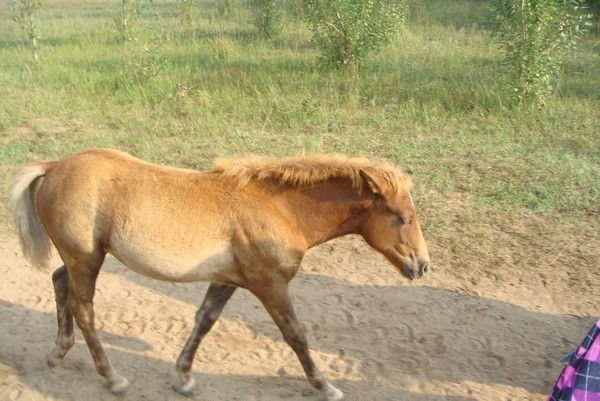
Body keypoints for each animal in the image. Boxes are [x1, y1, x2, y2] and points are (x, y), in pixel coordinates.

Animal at [10, 148, 432, 398]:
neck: (279, 210)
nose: (422, 265)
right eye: (403, 218)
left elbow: (205, 320)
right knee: (84, 310)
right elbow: (295, 334)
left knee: (59, 283)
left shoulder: (227, 280)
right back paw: (113, 378)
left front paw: (184, 377)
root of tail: (52, 167)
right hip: (86, 259)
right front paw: (324, 384)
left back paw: (58, 352)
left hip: (82, 258)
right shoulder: (270, 285)